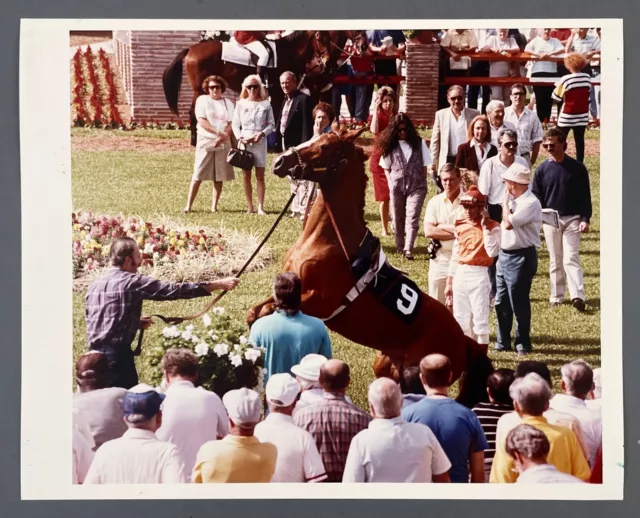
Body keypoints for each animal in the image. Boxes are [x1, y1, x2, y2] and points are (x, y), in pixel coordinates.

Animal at [162, 30, 348, 146]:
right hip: (199, 90)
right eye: (319, 37)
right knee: (192, 112)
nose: (328, 64)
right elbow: (276, 115)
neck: (289, 52)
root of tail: (191, 49)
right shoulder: (278, 92)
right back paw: (195, 141)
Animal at [248, 129, 492, 410]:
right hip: (387, 364)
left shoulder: (319, 302)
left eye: (326, 146)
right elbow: (255, 312)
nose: (280, 162)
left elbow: (270, 311)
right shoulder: (287, 288)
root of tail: (464, 340)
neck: (327, 240)